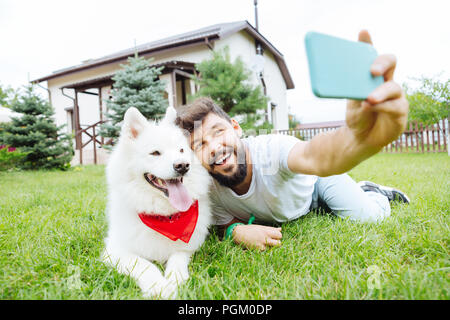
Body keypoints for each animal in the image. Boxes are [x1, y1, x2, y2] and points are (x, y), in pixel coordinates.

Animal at [103, 106, 212, 298]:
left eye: (181, 150)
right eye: (155, 153)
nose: (183, 165)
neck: (164, 216)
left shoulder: (186, 248)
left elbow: (176, 261)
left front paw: (175, 281)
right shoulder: (116, 250)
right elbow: (144, 265)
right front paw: (159, 287)